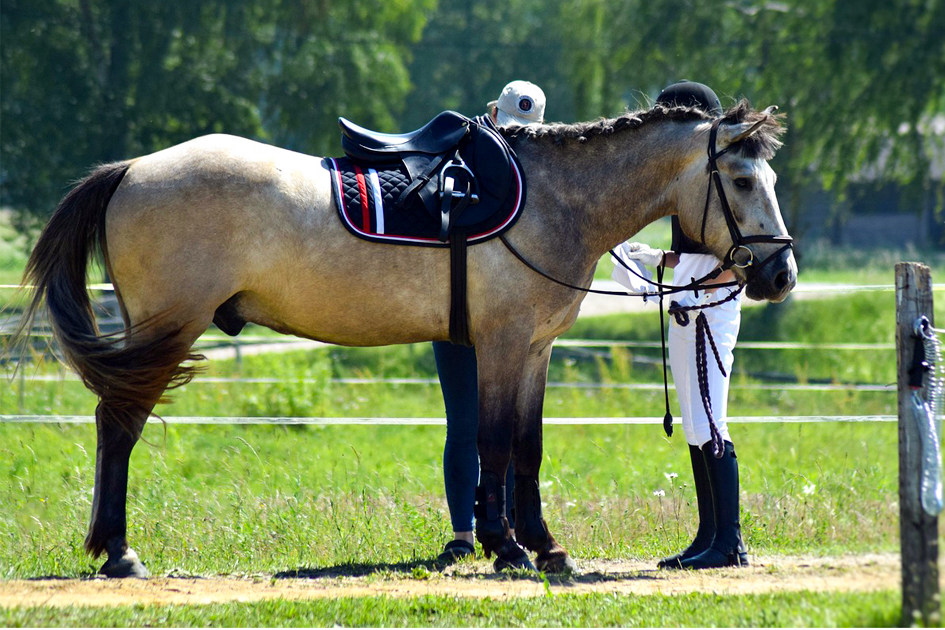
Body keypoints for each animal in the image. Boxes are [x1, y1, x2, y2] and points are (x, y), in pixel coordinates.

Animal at [18, 100, 797, 578]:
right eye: (739, 178)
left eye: (770, 176)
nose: (781, 273)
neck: (552, 199)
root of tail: (131, 170)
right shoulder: (503, 344)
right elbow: (495, 443)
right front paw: (509, 548)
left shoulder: (534, 350)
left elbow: (528, 448)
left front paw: (541, 547)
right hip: (167, 329)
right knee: (119, 425)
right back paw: (119, 552)